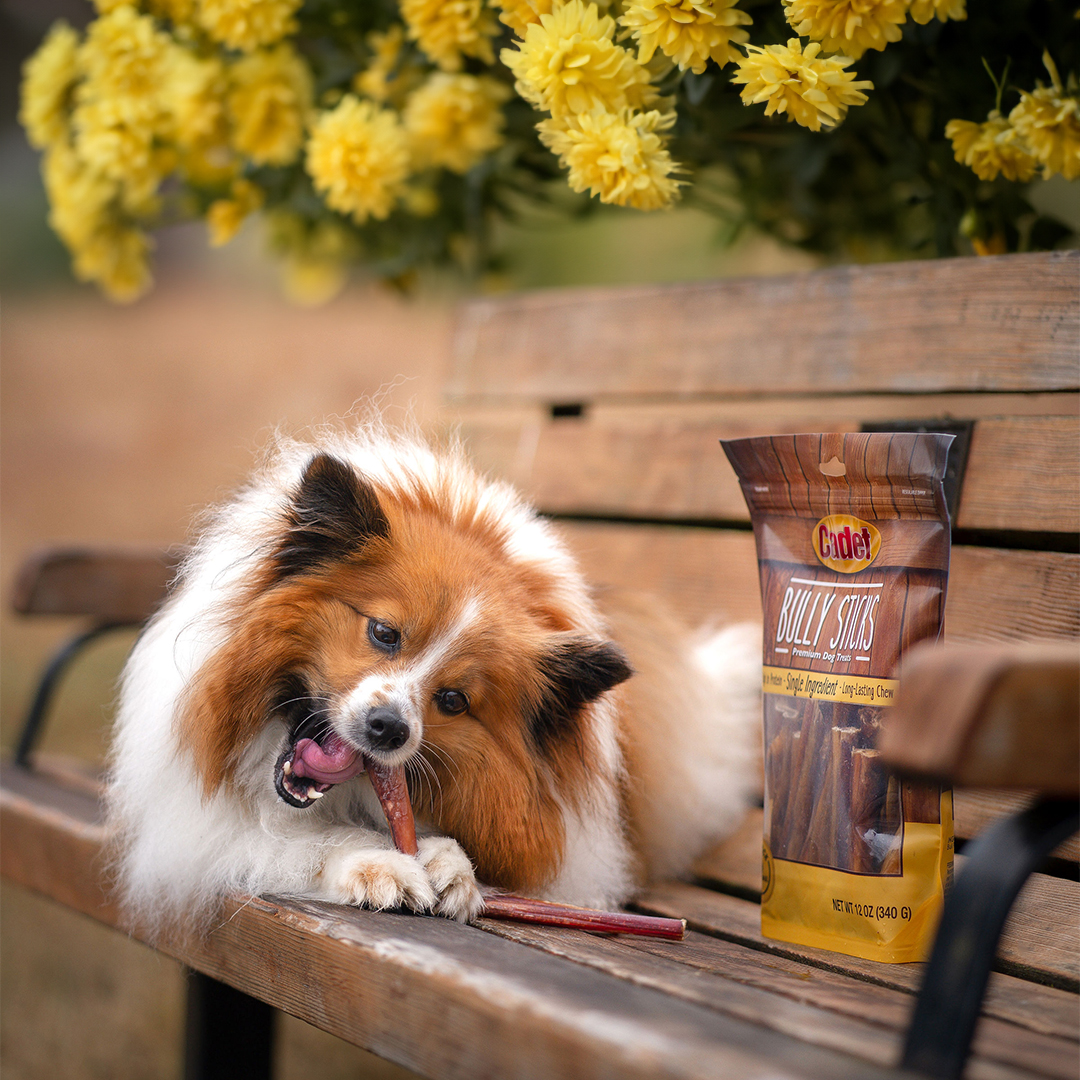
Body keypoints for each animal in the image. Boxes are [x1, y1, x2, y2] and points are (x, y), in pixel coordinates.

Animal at [105, 423, 756, 937]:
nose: (388, 728)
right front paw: (379, 863)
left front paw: (451, 865)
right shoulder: (190, 828)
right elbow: (294, 840)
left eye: (454, 699)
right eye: (385, 633)